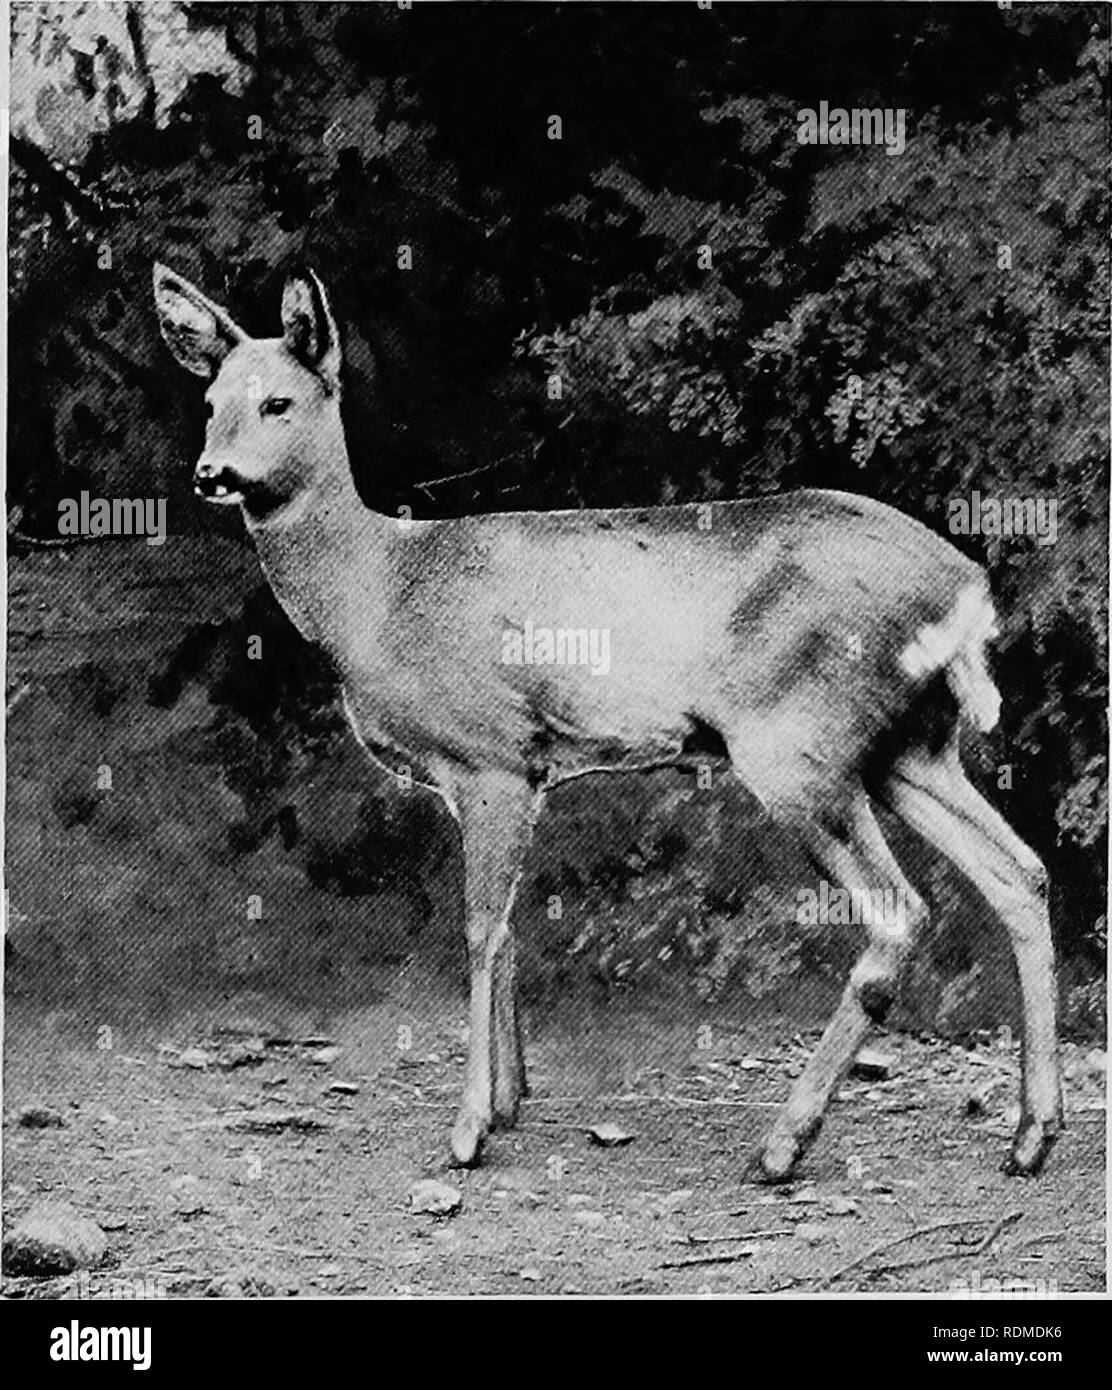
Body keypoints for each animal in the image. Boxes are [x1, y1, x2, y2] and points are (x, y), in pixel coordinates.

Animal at [154, 262, 1063, 1181]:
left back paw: (783, 1144)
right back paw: (1031, 1136)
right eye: (210, 401)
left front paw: (468, 1129)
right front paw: (511, 1101)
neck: (378, 594)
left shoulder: (488, 752)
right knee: (1020, 873)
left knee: (900, 913)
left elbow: (479, 929)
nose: (211, 472)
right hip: (908, 746)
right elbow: (510, 926)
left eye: (279, 402)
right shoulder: (511, 770)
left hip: (797, 741)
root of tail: (964, 589)